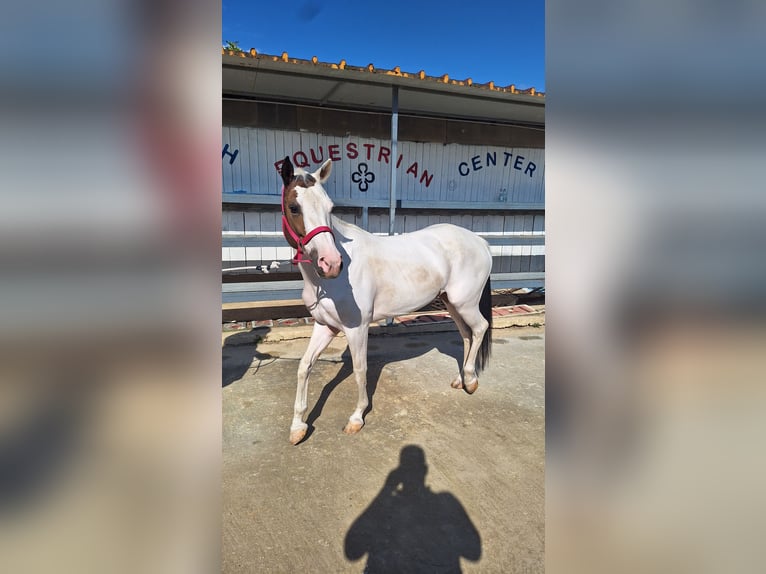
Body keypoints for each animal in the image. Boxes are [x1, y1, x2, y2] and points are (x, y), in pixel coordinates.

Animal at [279, 156, 493, 445]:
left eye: (329, 207)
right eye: (294, 207)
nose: (331, 263)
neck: (328, 282)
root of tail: (480, 242)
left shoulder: (356, 328)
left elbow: (360, 370)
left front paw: (356, 418)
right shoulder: (325, 327)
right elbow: (304, 367)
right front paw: (298, 427)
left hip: (465, 303)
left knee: (480, 328)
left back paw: (470, 381)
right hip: (452, 304)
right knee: (468, 335)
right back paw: (460, 380)